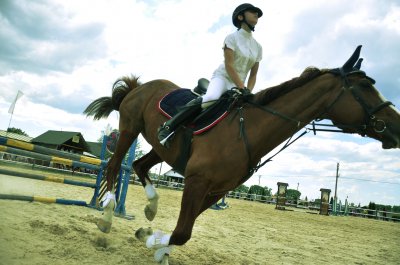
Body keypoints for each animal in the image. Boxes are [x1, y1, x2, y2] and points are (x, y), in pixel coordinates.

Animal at [84, 45, 400, 262]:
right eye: (365, 86)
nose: (397, 127)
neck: (247, 130)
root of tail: (141, 86)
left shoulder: (216, 190)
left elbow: (184, 230)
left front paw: (155, 242)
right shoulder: (198, 181)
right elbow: (183, 231)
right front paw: (154, 242)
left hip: (163, 150)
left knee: (139, 165)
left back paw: (150, 207)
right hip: (129, 129)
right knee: (114, 167)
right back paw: (107, 215)